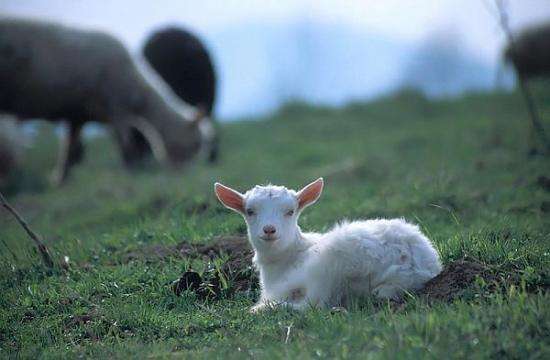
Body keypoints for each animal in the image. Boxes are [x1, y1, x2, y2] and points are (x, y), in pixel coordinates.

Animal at [216, 179, 444, 310]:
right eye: (250, 211)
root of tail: (412, 266)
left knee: (313, 305)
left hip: (328, 267)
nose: (269, 230)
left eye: (290, 211)